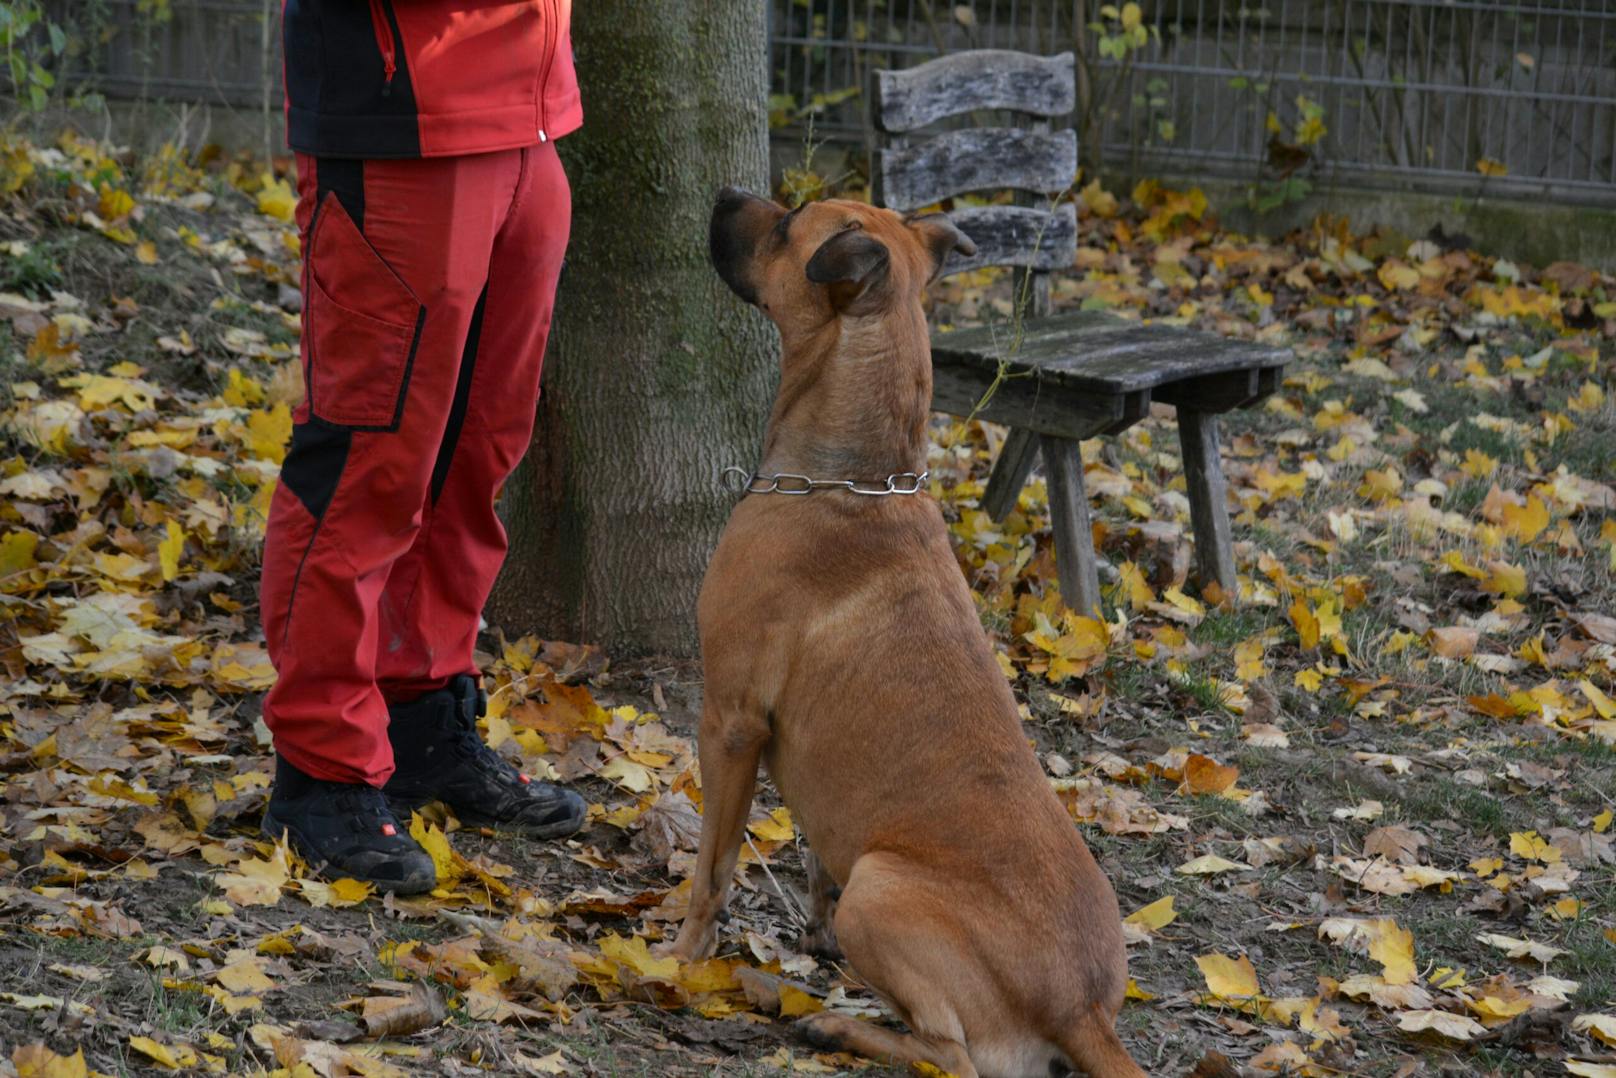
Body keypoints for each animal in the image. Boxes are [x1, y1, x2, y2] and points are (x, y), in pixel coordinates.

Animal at [669, 191, 1150, 1078]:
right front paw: (811, 939)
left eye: (787, 224)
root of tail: (1083, 1012)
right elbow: (816, 864)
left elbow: (712, 869)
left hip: (882, 889)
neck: (856, 480)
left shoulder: (730, 721)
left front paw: (682, 957)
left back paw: (824, 1022)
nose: (723, 196)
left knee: (948, 1054)